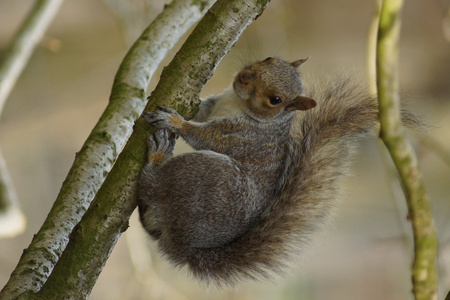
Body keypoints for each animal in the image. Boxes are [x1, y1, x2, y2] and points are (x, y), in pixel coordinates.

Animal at [136, 56, 418, 286]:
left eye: (276, 100)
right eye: (269, 59)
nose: (245, 76)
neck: (239, 104)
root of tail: (184, 245)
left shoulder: (241, 137)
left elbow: (204, 136)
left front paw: (175, 121)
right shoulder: (215, 104)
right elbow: (202, 108)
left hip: (206, 177)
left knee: (152, 186)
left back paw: (157, 156)